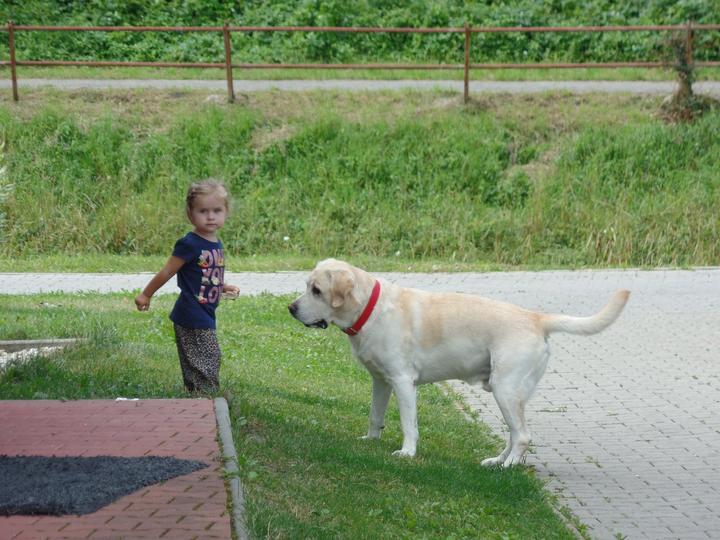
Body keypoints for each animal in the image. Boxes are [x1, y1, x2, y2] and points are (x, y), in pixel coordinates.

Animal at [289, 259, 629, 467]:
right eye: (306, 286)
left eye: (316, 290)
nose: (291, 308)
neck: (369, 310)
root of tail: (536, 317)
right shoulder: (381, 381)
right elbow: (375, 416)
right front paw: (370, 441)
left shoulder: (403, 382)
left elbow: (408, 424)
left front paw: (407, 452)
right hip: (511, 394)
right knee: (514, 434)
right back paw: (497, 461)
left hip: (505, 389)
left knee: (522, 436)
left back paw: (507, 467)